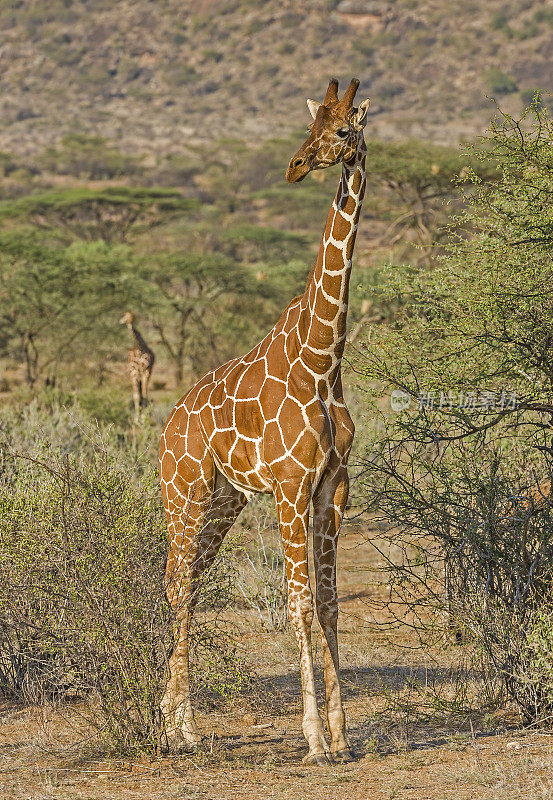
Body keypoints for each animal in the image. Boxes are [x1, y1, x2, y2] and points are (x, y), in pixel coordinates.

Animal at [157, 78, 368, 764]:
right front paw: (314, 739)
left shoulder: (332, 488)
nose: (296, 165)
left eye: (342, 131)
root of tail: (166, 427)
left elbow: (328, 604)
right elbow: (298, 603)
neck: (324, 359)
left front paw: (342, 735)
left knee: (189, 585)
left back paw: (171, 723)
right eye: (310, 128)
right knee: (177, 587)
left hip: (223, 502)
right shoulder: (291, 488)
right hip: (185, 497)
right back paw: (182, 729)